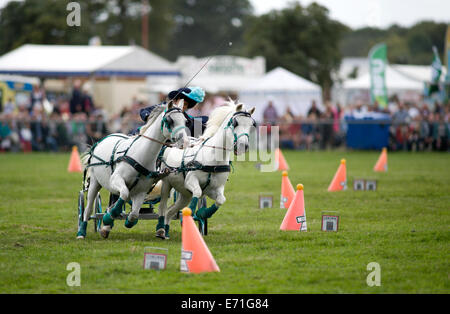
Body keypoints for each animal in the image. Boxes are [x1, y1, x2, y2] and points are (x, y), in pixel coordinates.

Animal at [78, 100, 190, 238]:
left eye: (185, 121)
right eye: (170, 120)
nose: (185, 143)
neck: (140, 156)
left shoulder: (141, 191)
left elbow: (134, 214)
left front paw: (123, 221)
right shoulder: (115, 179)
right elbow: (124, 195)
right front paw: (108, 217)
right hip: (94, 182)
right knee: (88, 209)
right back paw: (82, 231)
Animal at [156, 99, 256, 239]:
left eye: (251, 125)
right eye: (235, 122)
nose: (243, 146)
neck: (213, 158)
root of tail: (171, 144)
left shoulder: (214, 188)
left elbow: (221, 200)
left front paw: (202, 214)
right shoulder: (190, 181)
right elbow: (198, 192)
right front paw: (193, 215)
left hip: (184, 194)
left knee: (170, 211)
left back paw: (166, 231)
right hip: (166, 184)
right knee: (163, 207)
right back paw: (160, 230)